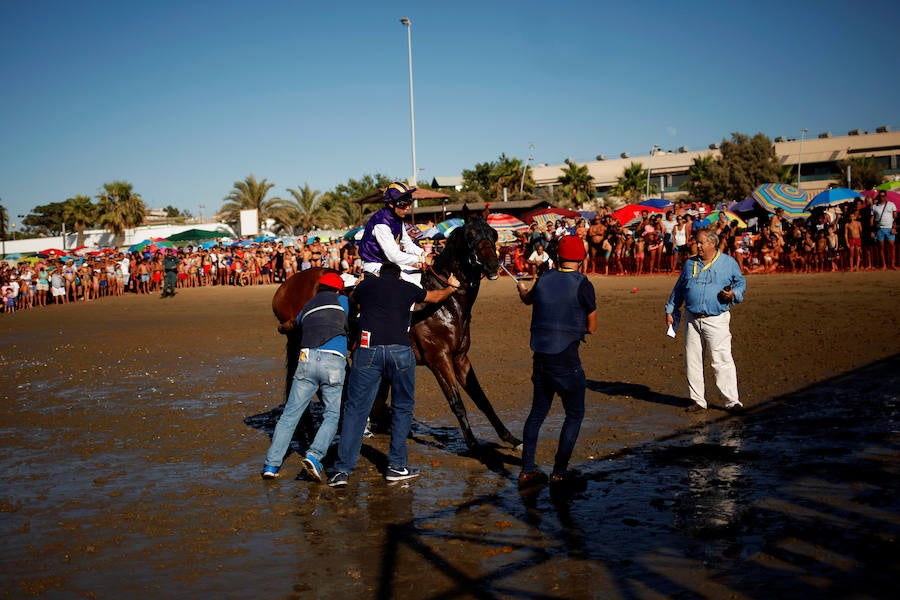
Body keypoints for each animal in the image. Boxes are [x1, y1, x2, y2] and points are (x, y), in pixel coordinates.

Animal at [274, 206, 524, 450]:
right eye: (470, 235)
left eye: (493, 234)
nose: (493, 265)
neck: (445, 302)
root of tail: (286, 286)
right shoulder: (439, 359)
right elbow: (456, 402)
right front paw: (473, 444)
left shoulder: (460, 358)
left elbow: (483, 400)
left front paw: (511, 438)